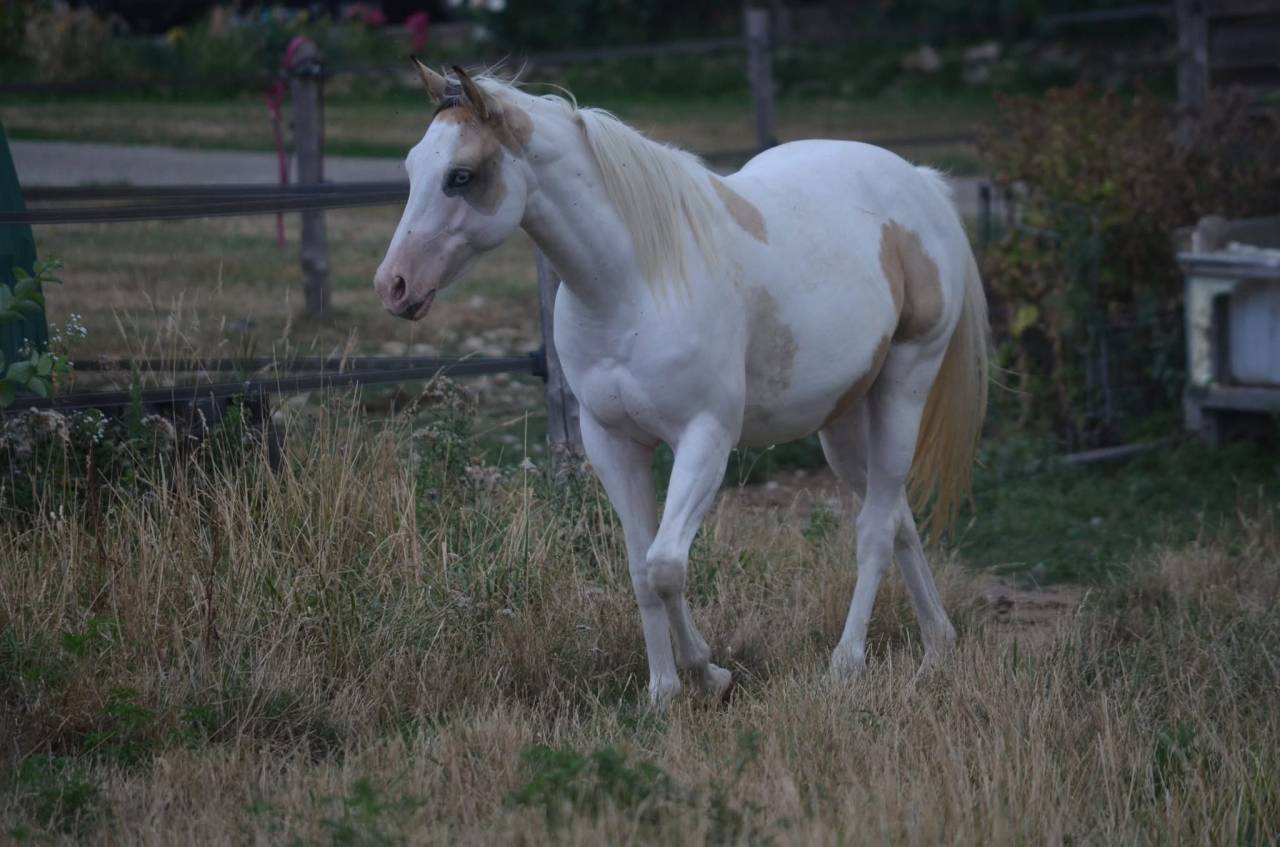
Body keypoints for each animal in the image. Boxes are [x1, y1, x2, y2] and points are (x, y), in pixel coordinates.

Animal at [374, 63, 990, 708]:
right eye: (412, 167)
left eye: (461, 175)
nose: (393, 285)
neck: (637, 283)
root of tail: (920, 184)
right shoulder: (613, 445)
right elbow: (640, 570)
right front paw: (663, 690)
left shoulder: (705, 438)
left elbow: (666, 564)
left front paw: (709, 674)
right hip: (843, 421)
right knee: (896, 517)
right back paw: (937, 648)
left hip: (903, 387)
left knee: (874, 527)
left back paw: (847, 664)